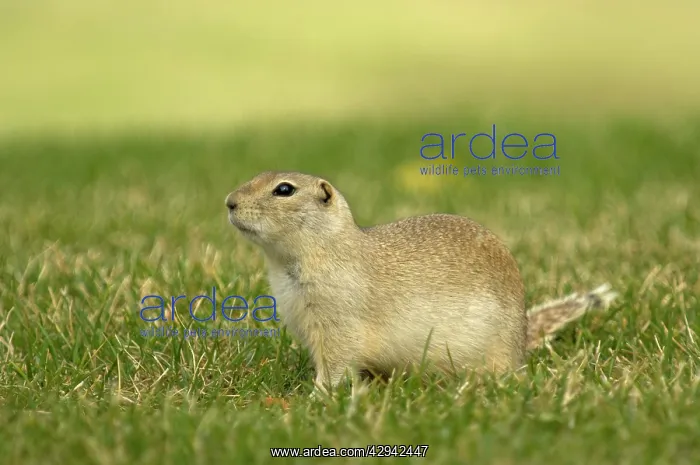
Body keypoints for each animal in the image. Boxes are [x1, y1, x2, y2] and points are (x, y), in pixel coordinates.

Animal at [224, 171, 618, 395]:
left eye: (284, 189)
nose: (229, 201)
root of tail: (521, 342)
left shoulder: (338, 322)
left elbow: (336, 365)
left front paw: (316, 396)